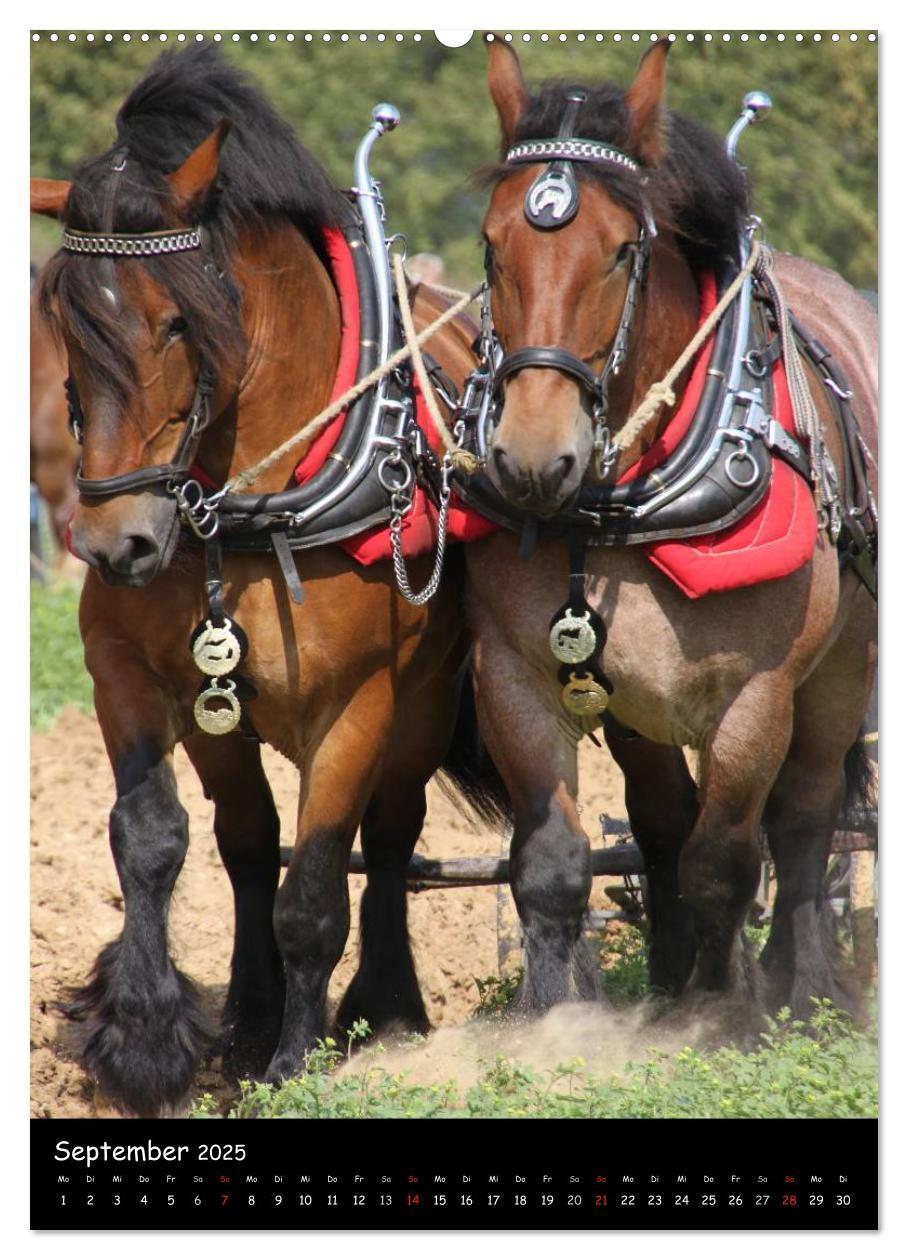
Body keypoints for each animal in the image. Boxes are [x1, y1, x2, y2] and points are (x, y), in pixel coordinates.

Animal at [31, 46, 498, 1113]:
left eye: (175, 323)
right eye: (67, 323)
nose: (114, 544)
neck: (237, 520)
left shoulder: (358, 707)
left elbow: (317, 887)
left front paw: (297, 1061)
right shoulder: (128, 671)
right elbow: (154, 839)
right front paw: (148, 1042)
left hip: (420, 700)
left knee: (393, 834)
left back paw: (382, 1008)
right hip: (226, 717)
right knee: (247, 843)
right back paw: (247, 1016)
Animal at [468, 39, 871, 1028]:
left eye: (621, 252)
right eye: (492, 246)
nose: (532, 458)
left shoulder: (757, 695)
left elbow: (725, 859)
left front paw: (723, 1020)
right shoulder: (514, 674)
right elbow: (554, 863)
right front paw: (553, 1021)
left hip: (843, 671)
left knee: (802, 820)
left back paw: (802, 984)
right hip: (636, 710)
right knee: (659, 822)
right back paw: (670, 978)